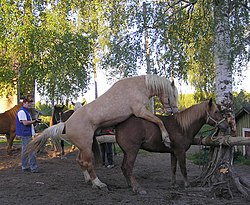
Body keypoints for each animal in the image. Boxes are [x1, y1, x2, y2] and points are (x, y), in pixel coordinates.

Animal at [25, 74, 179, 189]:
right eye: (174, 95)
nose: (174, 111)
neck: (137, 87)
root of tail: (66, 123)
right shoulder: (140, 111)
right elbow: (158, 121)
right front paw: (166, 139)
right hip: (87, 146)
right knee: (87, 163)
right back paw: (98, 183)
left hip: (84, 146)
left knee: (80, 161)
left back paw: (88, 180)